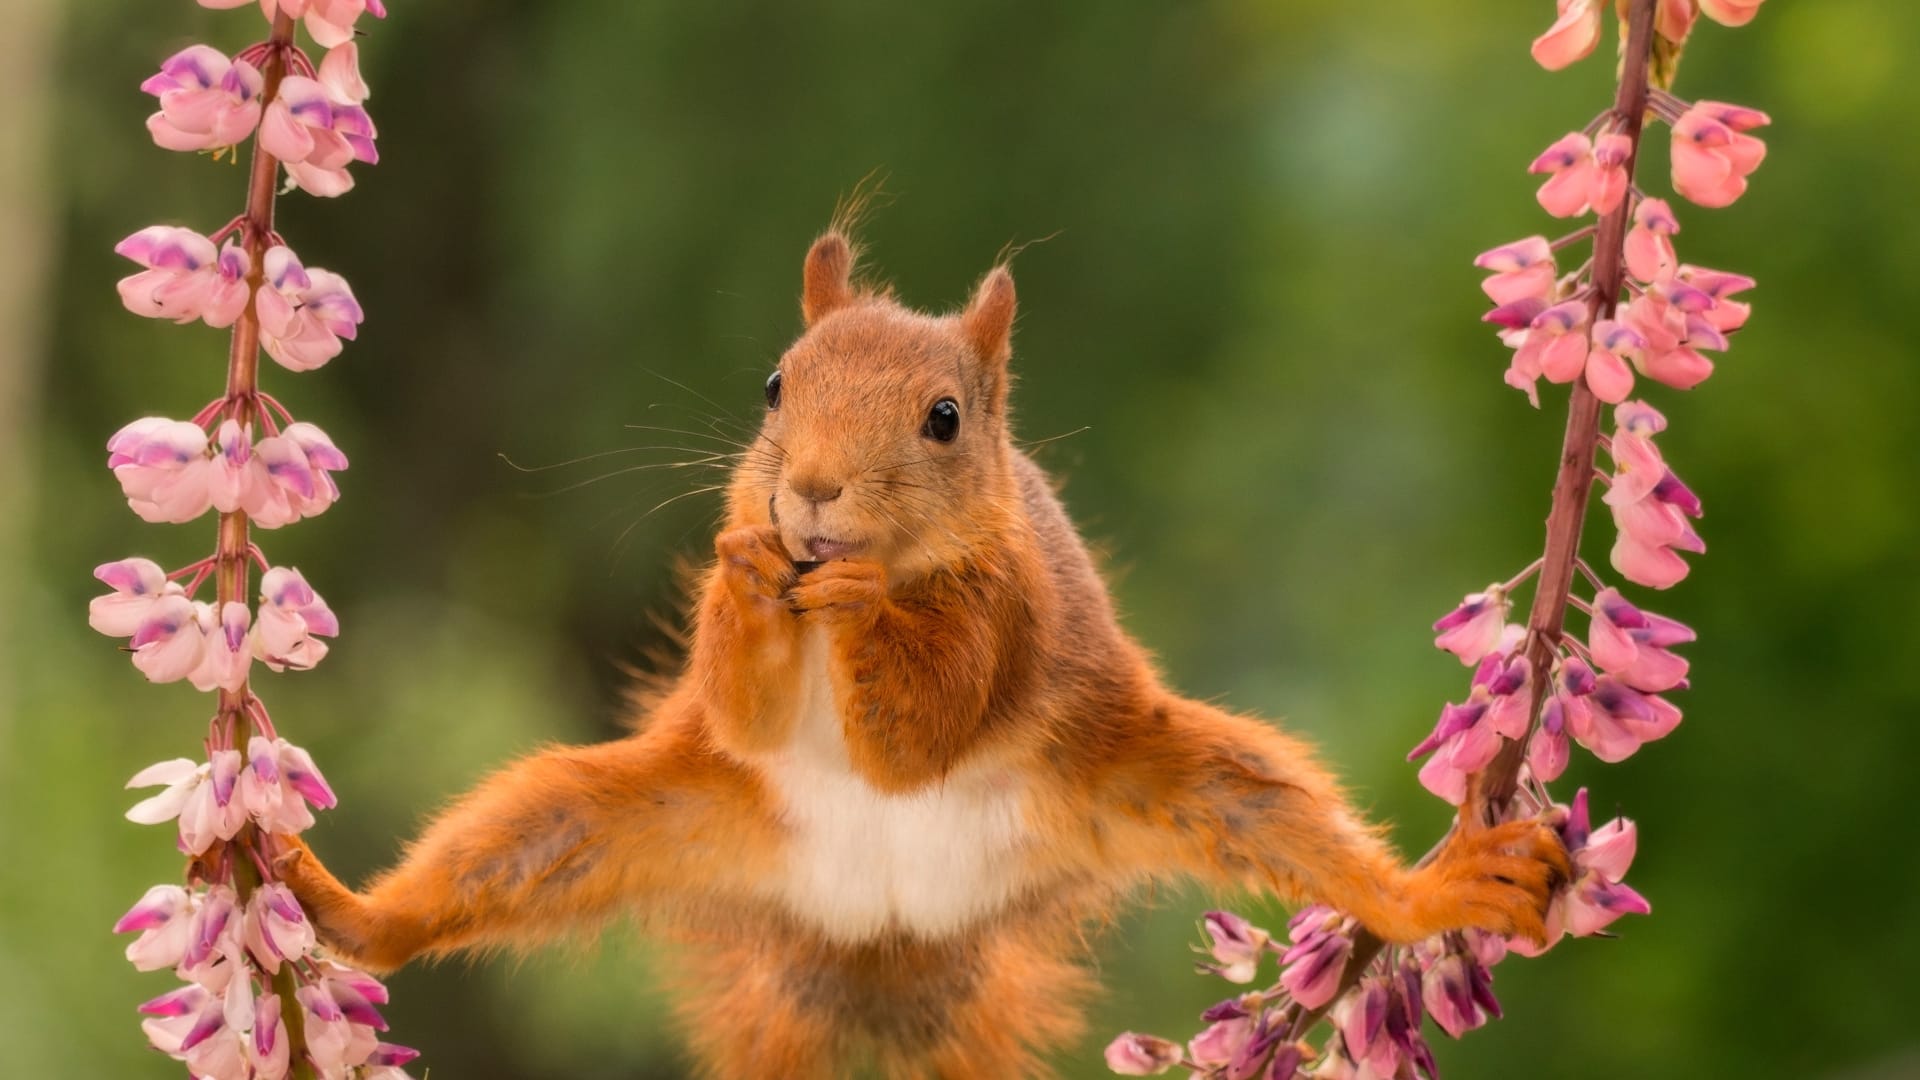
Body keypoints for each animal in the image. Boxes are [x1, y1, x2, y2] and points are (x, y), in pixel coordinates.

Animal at [278, 222, 1566, 1068]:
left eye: (944, 419)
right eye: (774, 385)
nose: (809, 493)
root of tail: (886, 929)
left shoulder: (1006, 617)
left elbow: (921, 733)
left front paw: (858, 604)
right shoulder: (740, 688)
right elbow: (743, 704)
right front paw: (749, 569)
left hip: (1169, 778)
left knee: (1293, 826)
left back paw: (1436, 888)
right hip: (618, 816)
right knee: (490, 858)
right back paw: (339, 905)